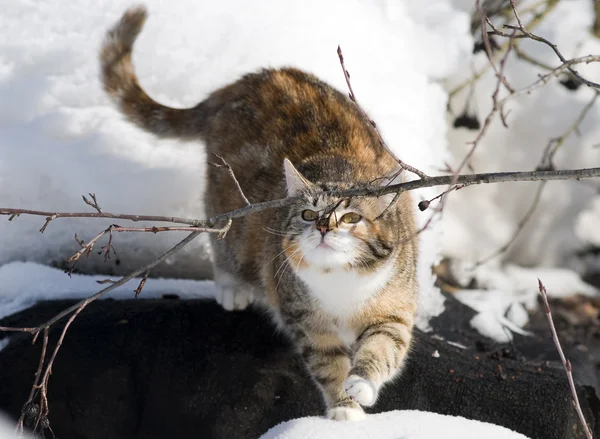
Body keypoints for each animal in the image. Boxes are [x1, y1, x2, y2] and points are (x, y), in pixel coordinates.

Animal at [101, 4, 418, 422]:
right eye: (306, 214)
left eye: (352, 218)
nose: (322, 227)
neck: (342, 285)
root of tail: (246, 81)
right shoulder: (304, 317)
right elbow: (327, 362)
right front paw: (342, 407)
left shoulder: (394, 309)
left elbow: (384, 346)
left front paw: (361, 385)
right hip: (229, 209)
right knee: (222, 242)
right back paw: (232, 288)